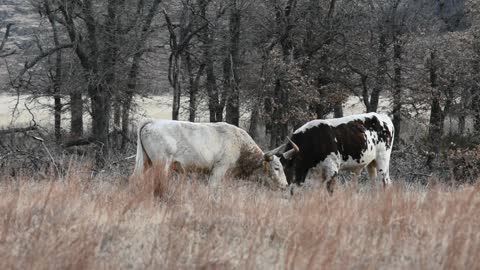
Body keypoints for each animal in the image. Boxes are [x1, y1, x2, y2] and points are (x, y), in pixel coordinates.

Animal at [133, 119, 286, 189]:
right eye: (276, 168)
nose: (285, 185)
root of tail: (153, 121)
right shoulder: (219, 170)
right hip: (162, 164)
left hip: (146, 162)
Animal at [266, 113, 394, 193]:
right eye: (276, 168)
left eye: (284, 167)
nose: (283, 185)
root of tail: (382, 116)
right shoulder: (317, 173)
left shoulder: (332, 169)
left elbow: (330, 190)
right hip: (371, 163)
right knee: (374, 184)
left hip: (383, 160)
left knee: (385, 183)